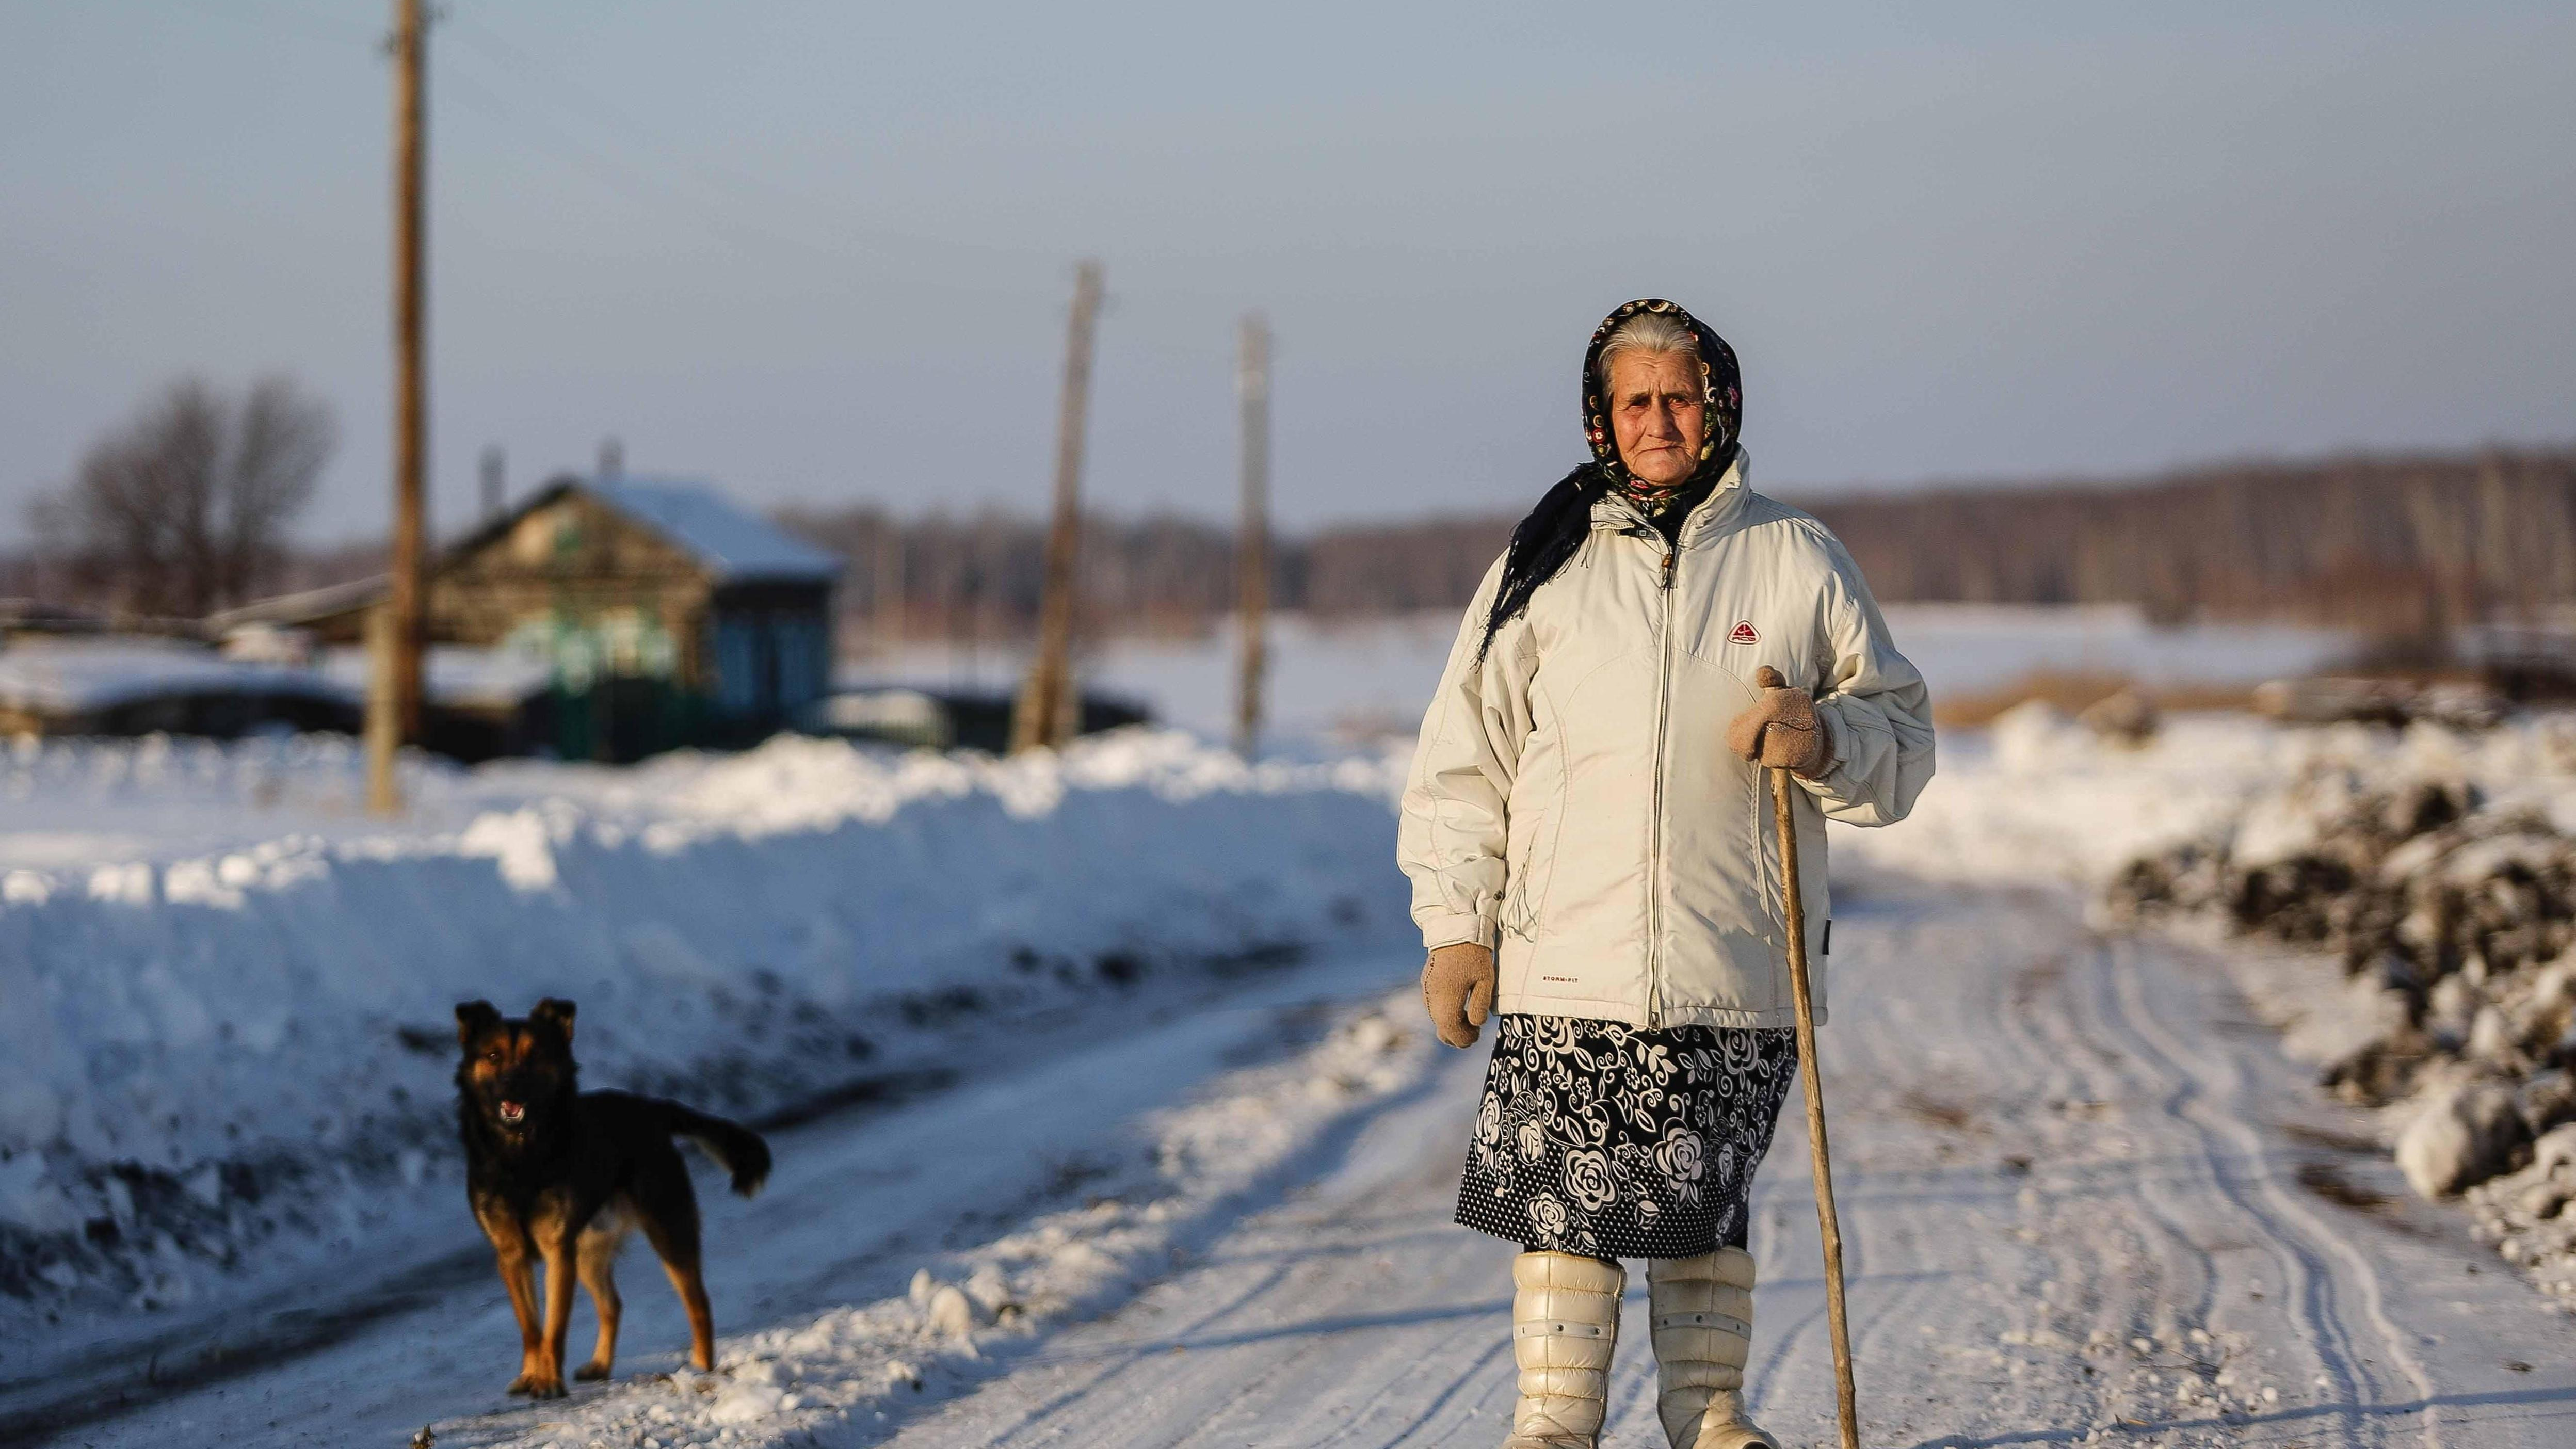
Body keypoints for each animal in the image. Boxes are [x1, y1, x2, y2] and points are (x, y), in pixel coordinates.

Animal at [456, 1000, 767, 1392]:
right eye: (493, 1056)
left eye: (534, 1056)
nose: (512, 1087)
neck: (520, 1154)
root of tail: (650, 1108)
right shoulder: (511, 1254)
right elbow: (531, 1327)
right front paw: (531, 1375)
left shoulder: (558, 1251)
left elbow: (554, 1328)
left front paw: (548, 1382)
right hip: (589, 1251)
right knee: (612, 1305)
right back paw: (601, 1365)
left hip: (668, 1231)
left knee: (698, 1302)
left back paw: (700, 1366)